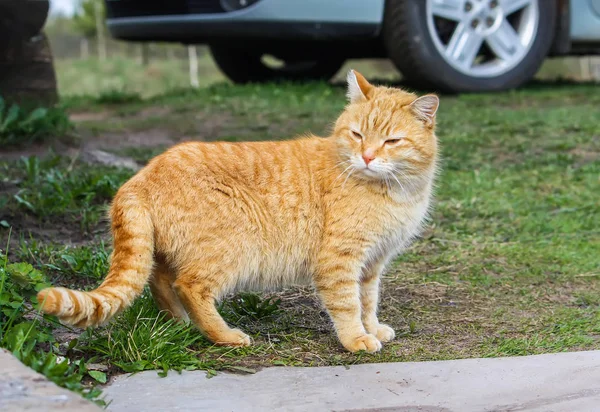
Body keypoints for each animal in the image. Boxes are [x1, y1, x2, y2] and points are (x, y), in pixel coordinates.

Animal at [38, 69, 440, 352]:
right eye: (357, 135)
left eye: (391, 141)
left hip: (170, 251)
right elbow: (347, 304)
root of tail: (139, 177)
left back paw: (180, 323)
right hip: (230, 251)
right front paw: (356, 339)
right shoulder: (340, 260)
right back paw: (224, 335)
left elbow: (368, 302)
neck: (394, 192)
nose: (367, 156)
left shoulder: (372, 264)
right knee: (189, 286)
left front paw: (373, 328)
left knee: (159, 280)